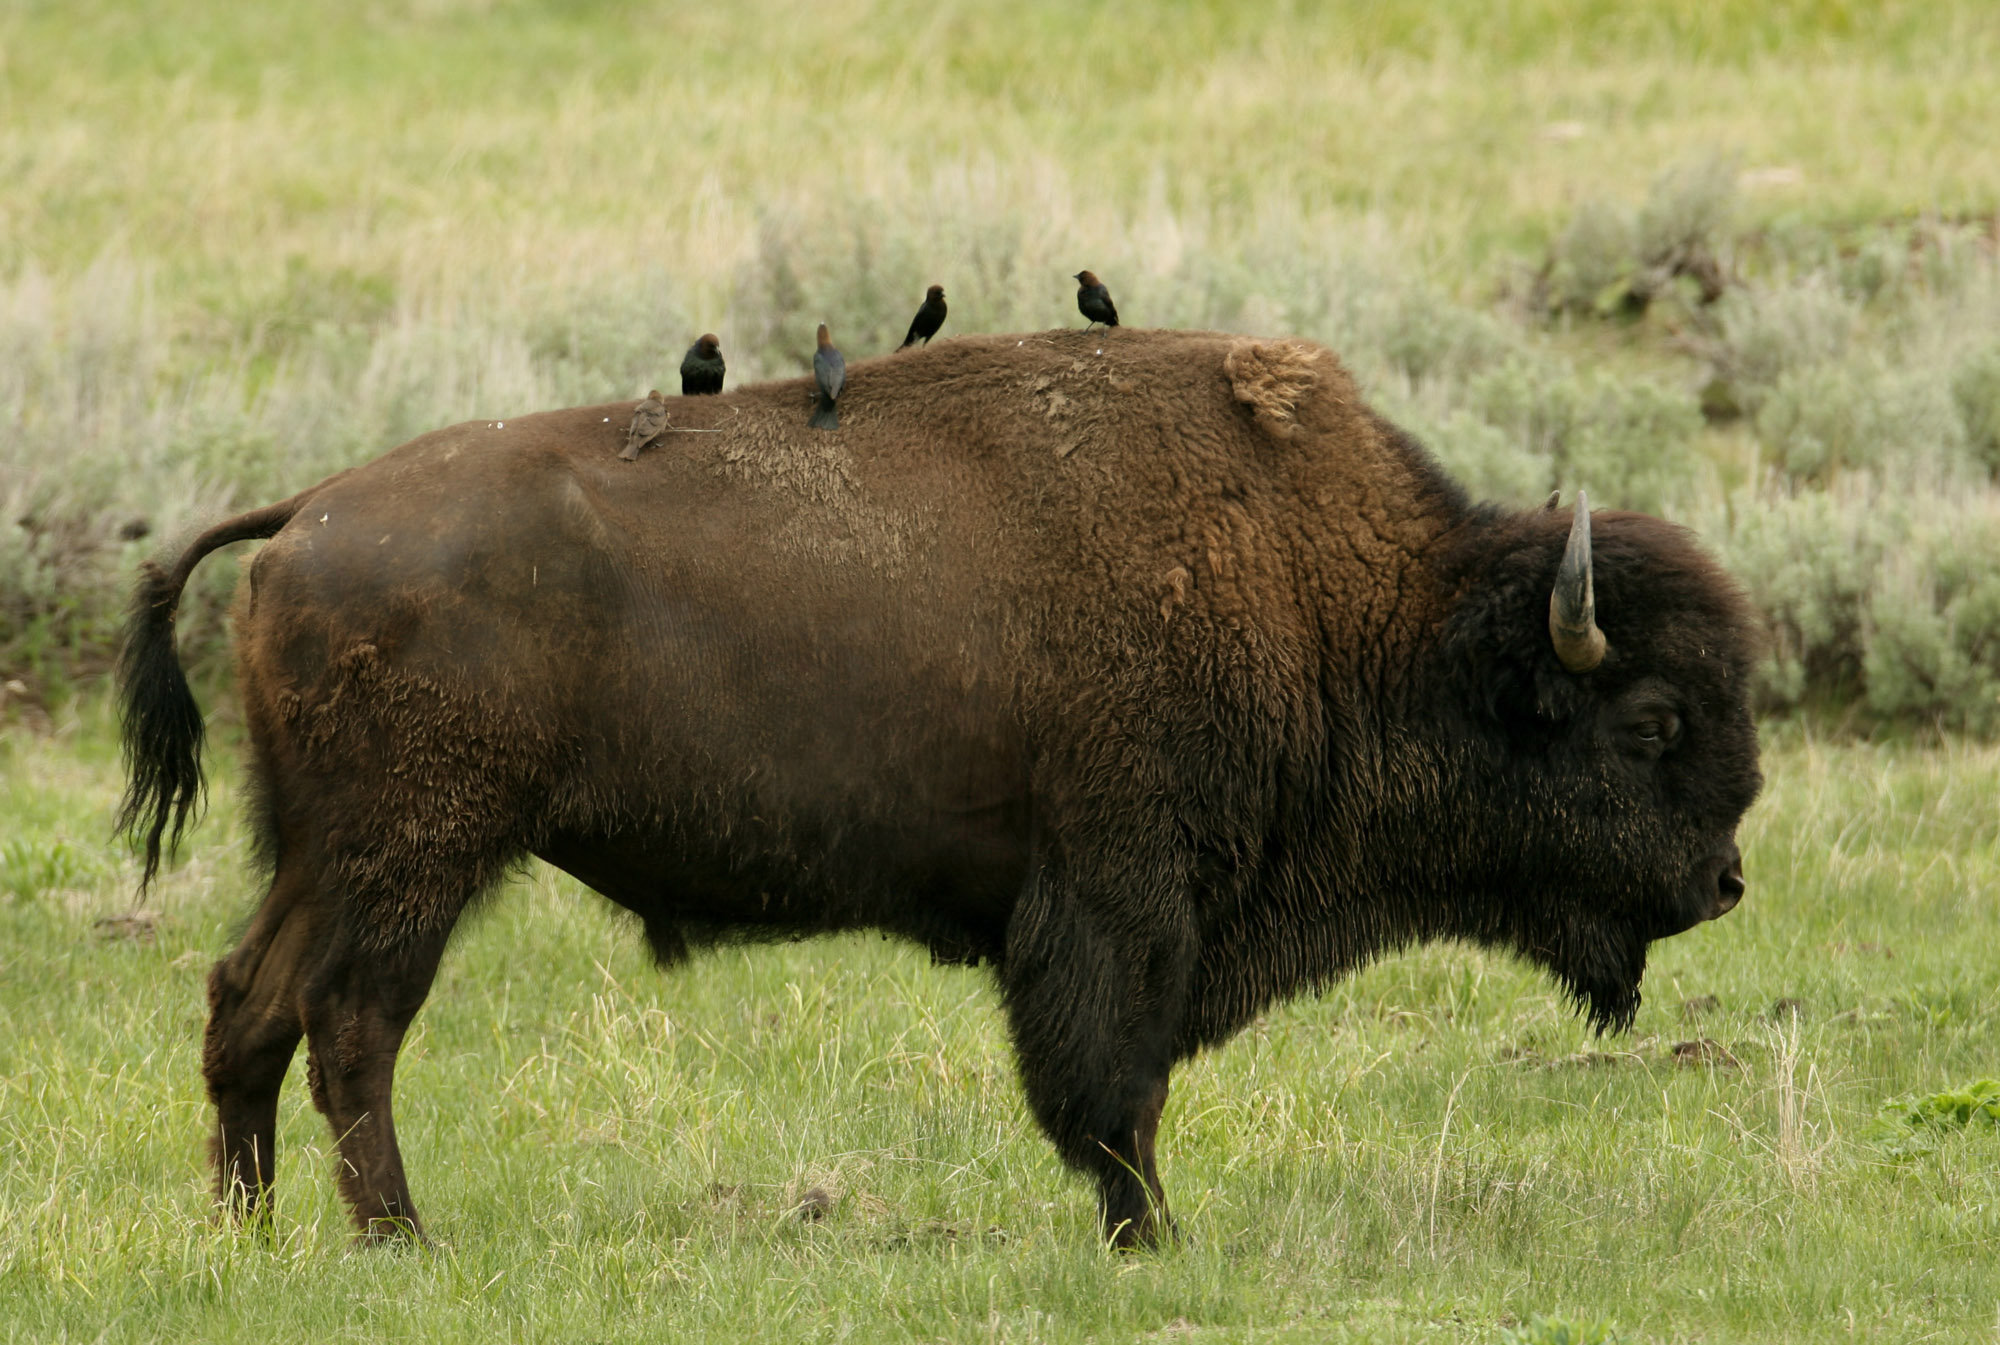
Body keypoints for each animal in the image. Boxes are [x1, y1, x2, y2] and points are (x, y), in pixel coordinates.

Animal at [117, 328, 1760, 1248]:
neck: (1341, 606)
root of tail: (305, 514)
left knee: (247, 1003)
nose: (1726, 879)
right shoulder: (1118, 901)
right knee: (352, 1028)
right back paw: (401, 1240)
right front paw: (1155, 1240)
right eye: (1652, 722)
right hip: (416, 858)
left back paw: (252, 1232)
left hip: (326, 856)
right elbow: (1113, 1089)